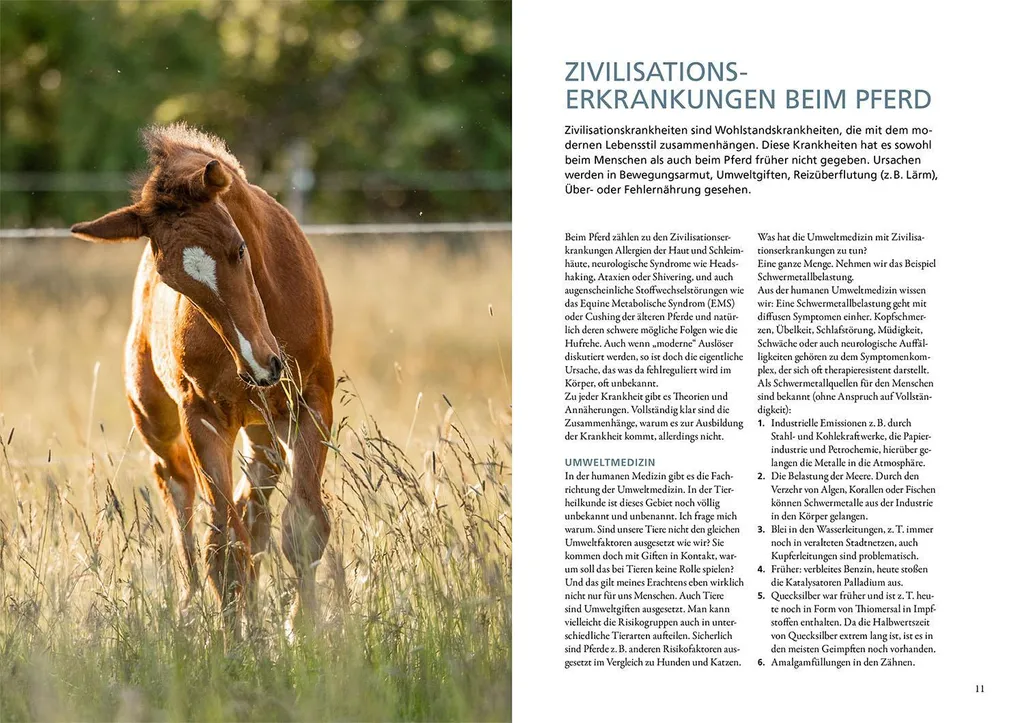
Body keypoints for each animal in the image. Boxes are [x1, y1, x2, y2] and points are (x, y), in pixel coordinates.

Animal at [71, 124, 334, 628]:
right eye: (173, 281)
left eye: (239, 248)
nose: (261, 366)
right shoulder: (205, 417)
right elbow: (223, 545)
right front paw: (239, 638)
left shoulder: (311, 403)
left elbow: (303, 526)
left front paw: (303, 629)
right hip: (158, 419)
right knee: (179, 490)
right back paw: (191, 604)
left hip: (266, 429)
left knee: (254, 507)